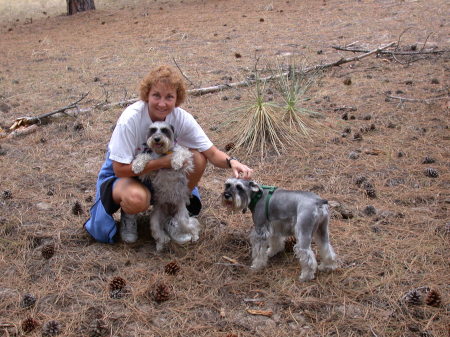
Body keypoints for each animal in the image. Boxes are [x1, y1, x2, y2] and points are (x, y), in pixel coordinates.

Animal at [131, 121, 200, 249]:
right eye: (153, 130)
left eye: (164, 130)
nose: (157, 139)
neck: (163, 154)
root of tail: (170, 213)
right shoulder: (150, 172)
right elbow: (145, 156)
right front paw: (137, 165)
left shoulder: (187, 163)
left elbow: (180, 152)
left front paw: (176, 162)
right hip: (155, 220)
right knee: (158, 233)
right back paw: (162, 242)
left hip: (182, 216)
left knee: (192, 225)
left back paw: (194, 236)